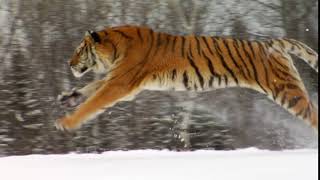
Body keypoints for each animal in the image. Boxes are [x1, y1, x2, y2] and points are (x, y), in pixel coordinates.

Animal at [55, 24, 318, 133]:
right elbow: (91, 88)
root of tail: (272, 43)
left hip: (287, 92)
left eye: (79, 50)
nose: (68, 63)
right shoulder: (119, 81)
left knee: (313, 114)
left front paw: (65, 123)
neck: (115, 50)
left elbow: (93, 103)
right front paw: (69, 97)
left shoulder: (120, 83)